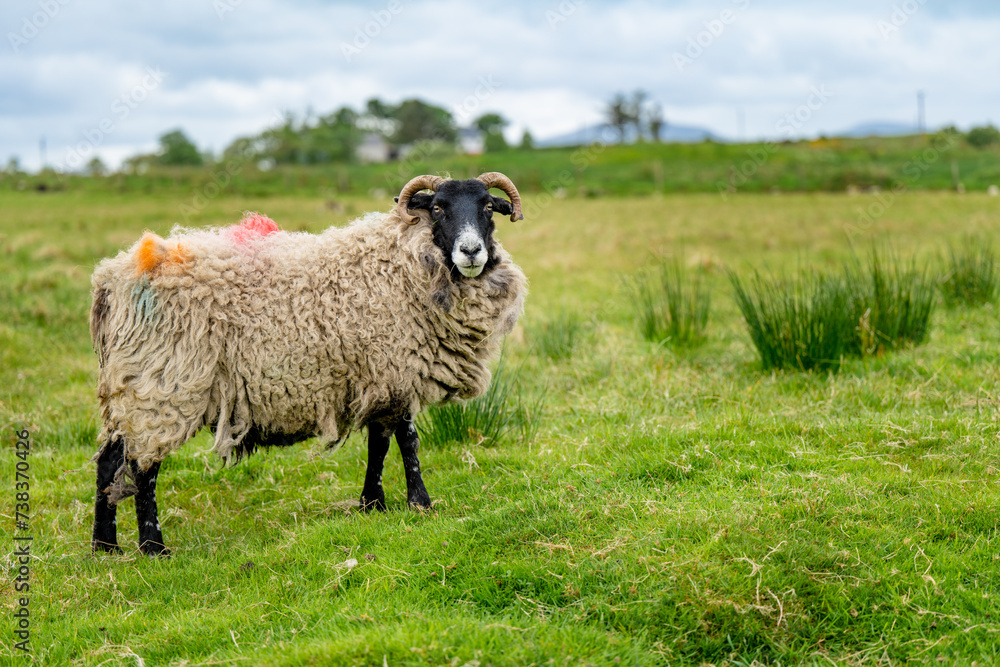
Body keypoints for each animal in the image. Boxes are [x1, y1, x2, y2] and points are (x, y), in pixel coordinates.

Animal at [90, 172, 527, 556]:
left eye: (488, 206)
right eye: (437, 208)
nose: (471, 252)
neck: (402, 262)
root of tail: (112, 280)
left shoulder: (378, 378)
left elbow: (379, 443)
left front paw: (373, 504)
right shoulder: (395, 368)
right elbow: (407, 441)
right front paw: (420, 502)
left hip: (133, 384)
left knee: (110, 461)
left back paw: (105, 547)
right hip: (162, 384)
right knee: (143, 468)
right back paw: (153, 547)